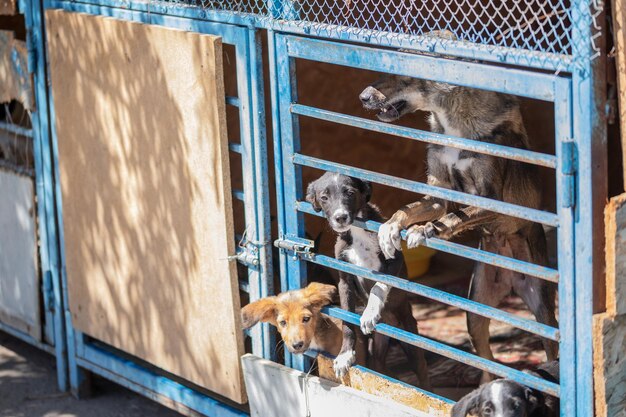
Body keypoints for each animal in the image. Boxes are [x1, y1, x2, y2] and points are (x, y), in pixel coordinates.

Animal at [306, 172, 428, 390]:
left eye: (350, 193)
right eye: (324, 197)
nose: (340, 217)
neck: (357, 233)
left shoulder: (395, 261)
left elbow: (378, 286)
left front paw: (369, 313)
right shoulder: (344, 280)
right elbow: (347, 321)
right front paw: (345, 355)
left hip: (410, 339)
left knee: (421, 371)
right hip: (376, 350)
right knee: (381, 369)